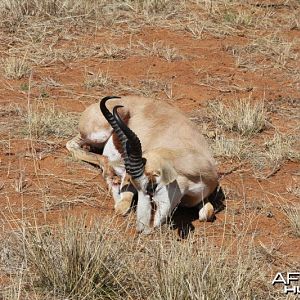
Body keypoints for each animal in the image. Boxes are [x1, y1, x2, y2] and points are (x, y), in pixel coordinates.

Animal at [67, 95, 218, 233]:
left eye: (152, 186)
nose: (144, 227)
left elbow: (208, 213)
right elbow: (121, 208)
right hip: (98, 134)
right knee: (72, 145)